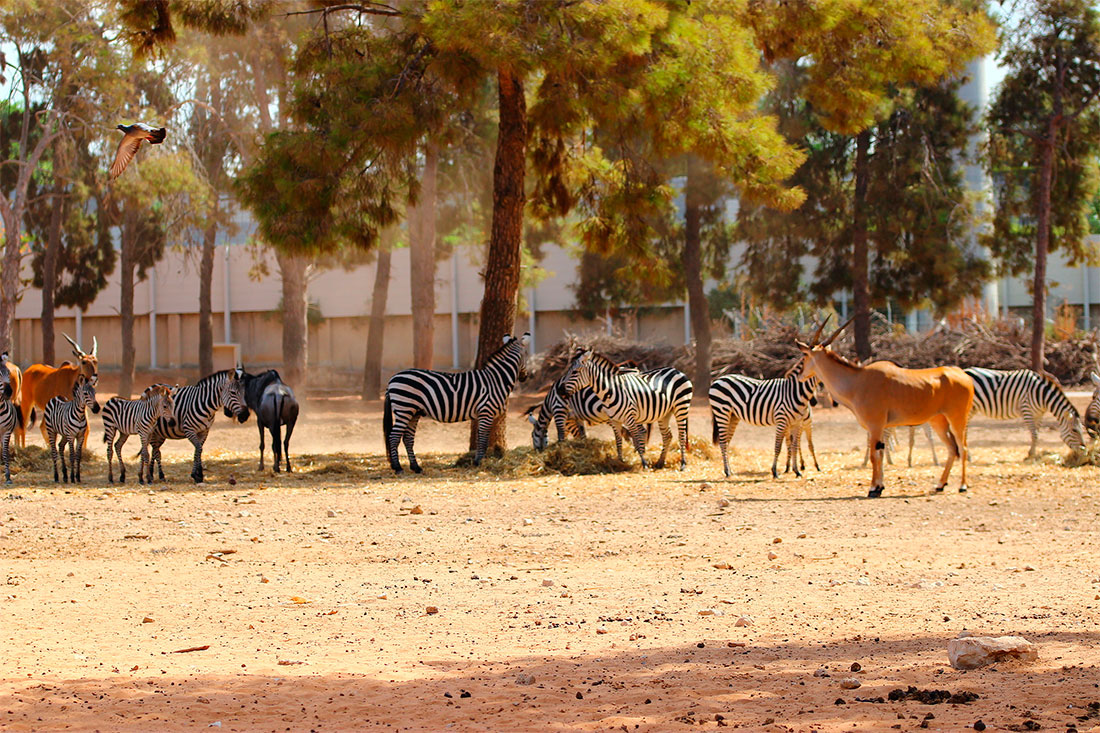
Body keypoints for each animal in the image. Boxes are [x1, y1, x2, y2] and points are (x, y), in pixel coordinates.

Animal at [385, 330, 530, 471]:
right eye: (527, 356)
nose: (525, 377)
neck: (496, 380)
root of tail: (392, 378)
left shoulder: (482, 415)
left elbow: (479, 439)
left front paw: (476, 461)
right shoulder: (486, 412)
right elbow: (483, 440)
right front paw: (478, 462)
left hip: (414, 412)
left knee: (408, 438)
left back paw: (416, 467)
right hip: (404, 408)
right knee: (393, 437)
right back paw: (397, 467)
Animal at [558, 347, 686, 468]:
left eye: (574, 372)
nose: (560, 390)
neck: (611, 392)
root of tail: (674, 370)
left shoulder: (630, 418)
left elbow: (637, 439)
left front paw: (644, 463)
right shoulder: (614, 420)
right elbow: (618, 441)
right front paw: (620, 461)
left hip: (681, 407)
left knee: (681, 435)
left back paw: (683, 464)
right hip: (665, 413)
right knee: (667, 436)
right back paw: (660, 462)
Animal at [800, 314, 972, 497]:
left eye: (804, 357)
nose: (800, 374)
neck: (858, 380)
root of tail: (964, 375)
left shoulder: (875, 426)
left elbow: (874, 455)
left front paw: (873, 489)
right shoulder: (881, 428)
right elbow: (881, 453)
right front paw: (880, 487)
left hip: (957, 420)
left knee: (963, 448)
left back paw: (962, 486)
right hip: (938, 421)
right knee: (952, 449)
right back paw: (940, 485)